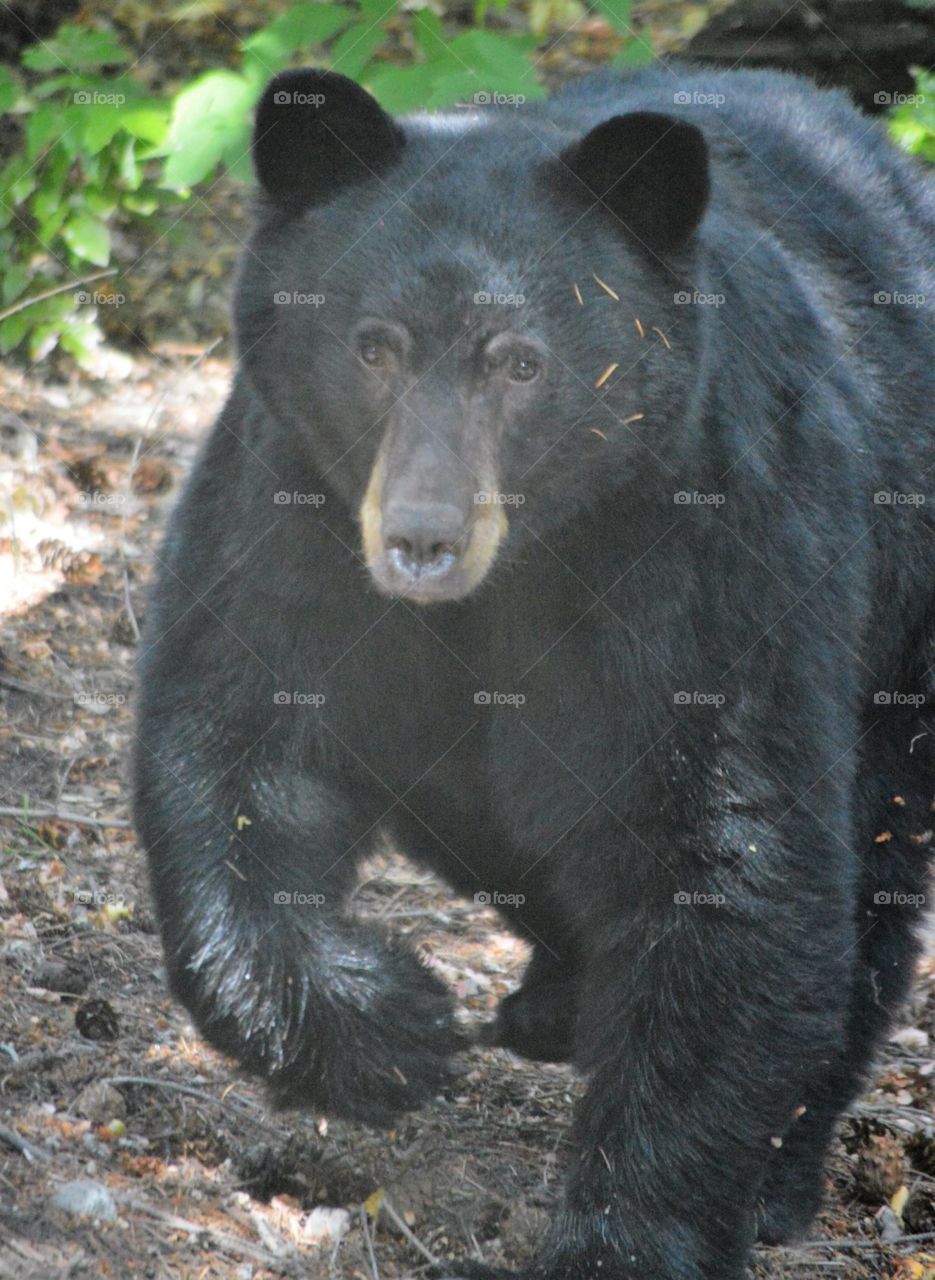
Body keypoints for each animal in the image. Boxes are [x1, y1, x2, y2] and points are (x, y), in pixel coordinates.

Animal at [133, 63, 935, 1280]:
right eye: (373, 345)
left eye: (520, 360)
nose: (421, 539)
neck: (530, 558)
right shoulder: (295, 497)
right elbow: (233, 736)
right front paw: (389, 1024)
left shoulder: (712, 540)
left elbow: (727, 844)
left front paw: (631, 1233)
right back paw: (553, 998)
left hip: (901, 609)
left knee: (869, 853)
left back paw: (779, 1169)